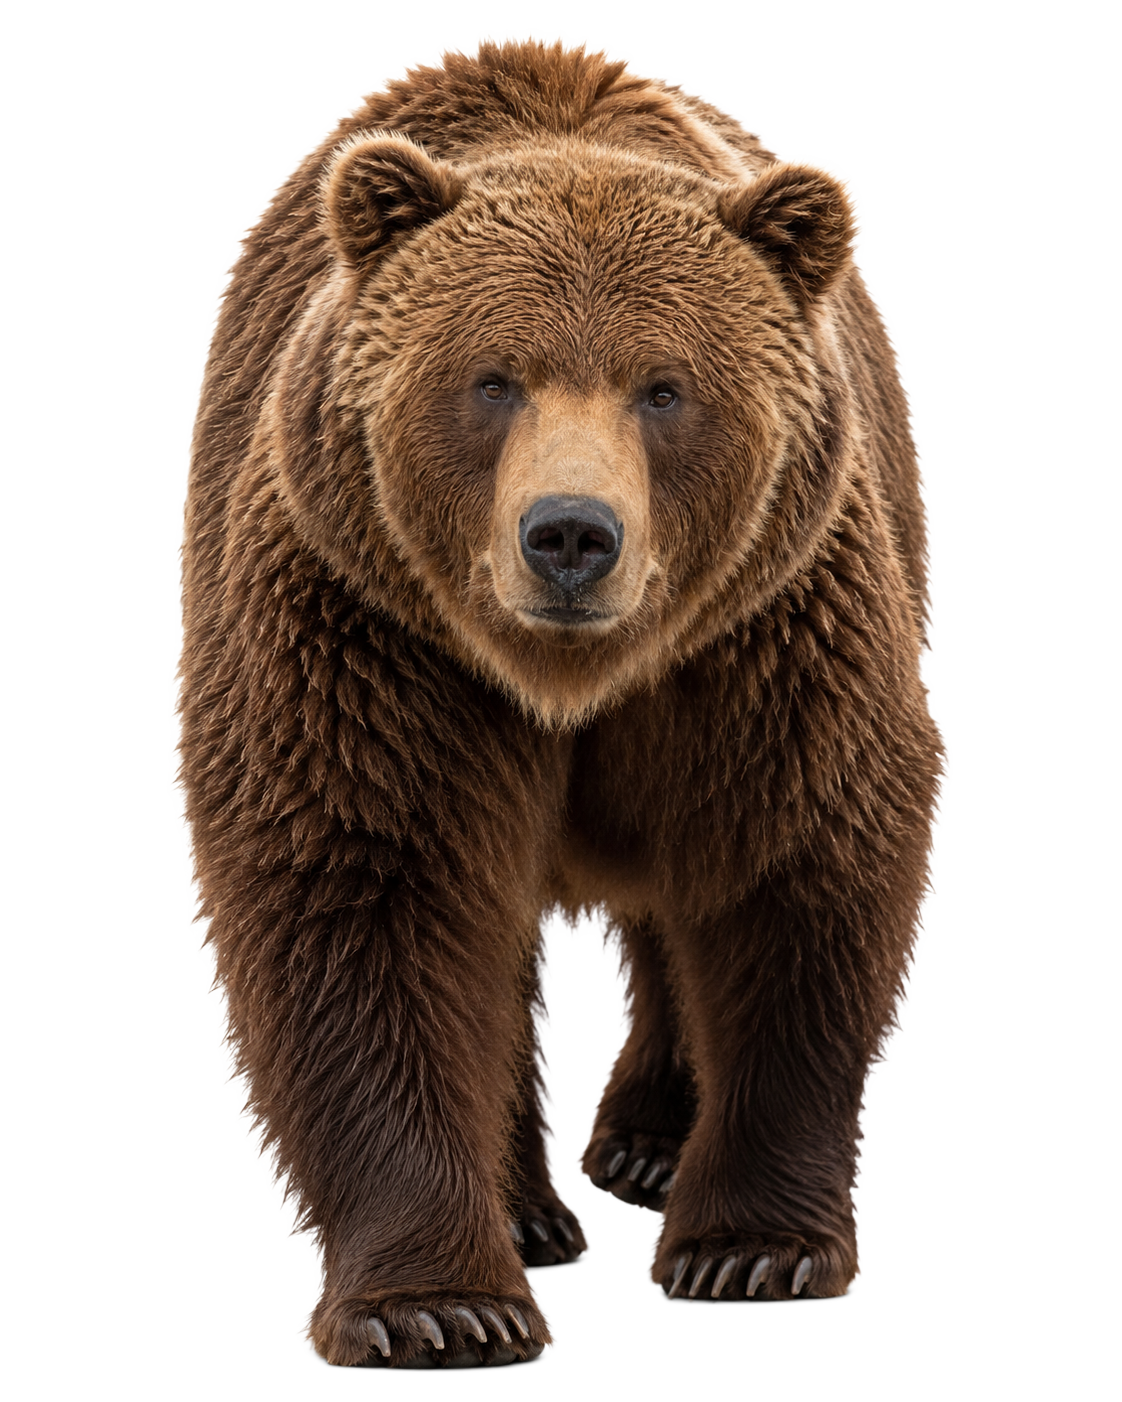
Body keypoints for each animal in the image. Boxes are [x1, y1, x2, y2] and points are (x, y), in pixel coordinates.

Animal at [179, 37, 943, 1369]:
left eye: (665, 387)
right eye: (493, 380)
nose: (572, 535)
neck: (570, 678)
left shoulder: (768, 631)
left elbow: (797, 857)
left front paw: (753, 1245)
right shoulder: (370, 628)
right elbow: (363, 888)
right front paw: (439, 1303)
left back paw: (643, 1144)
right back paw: (530, 1211)